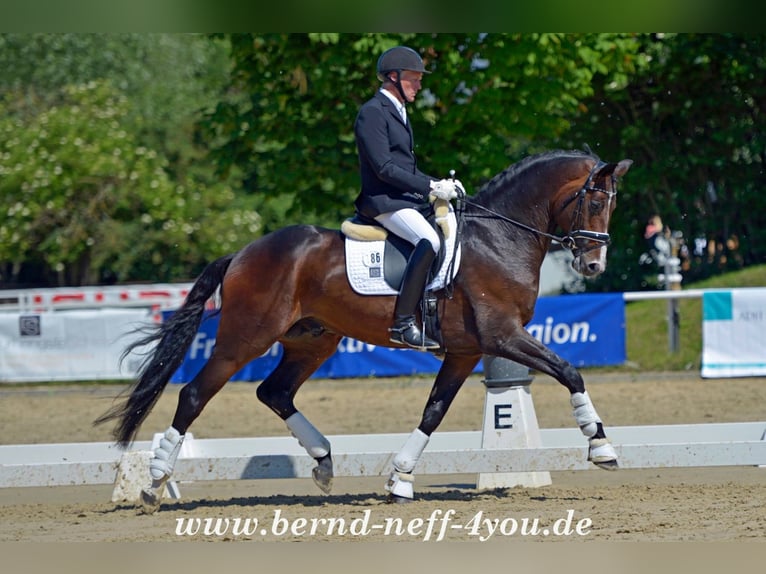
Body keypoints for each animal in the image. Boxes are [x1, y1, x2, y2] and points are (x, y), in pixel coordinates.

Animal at [96, 147, 636, 512]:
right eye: (594, 202)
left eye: (613, 206)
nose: (593, 265)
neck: (500, 237)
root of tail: (244, 252)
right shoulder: (501, 336)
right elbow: (568, 371)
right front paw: (601, 446)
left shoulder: (464, 351)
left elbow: (433, 412)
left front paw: (400, 480)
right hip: (244, 338)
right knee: (194, 394)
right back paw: (154, 483)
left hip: (313, 339)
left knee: (275, 392)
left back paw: (322, 461)